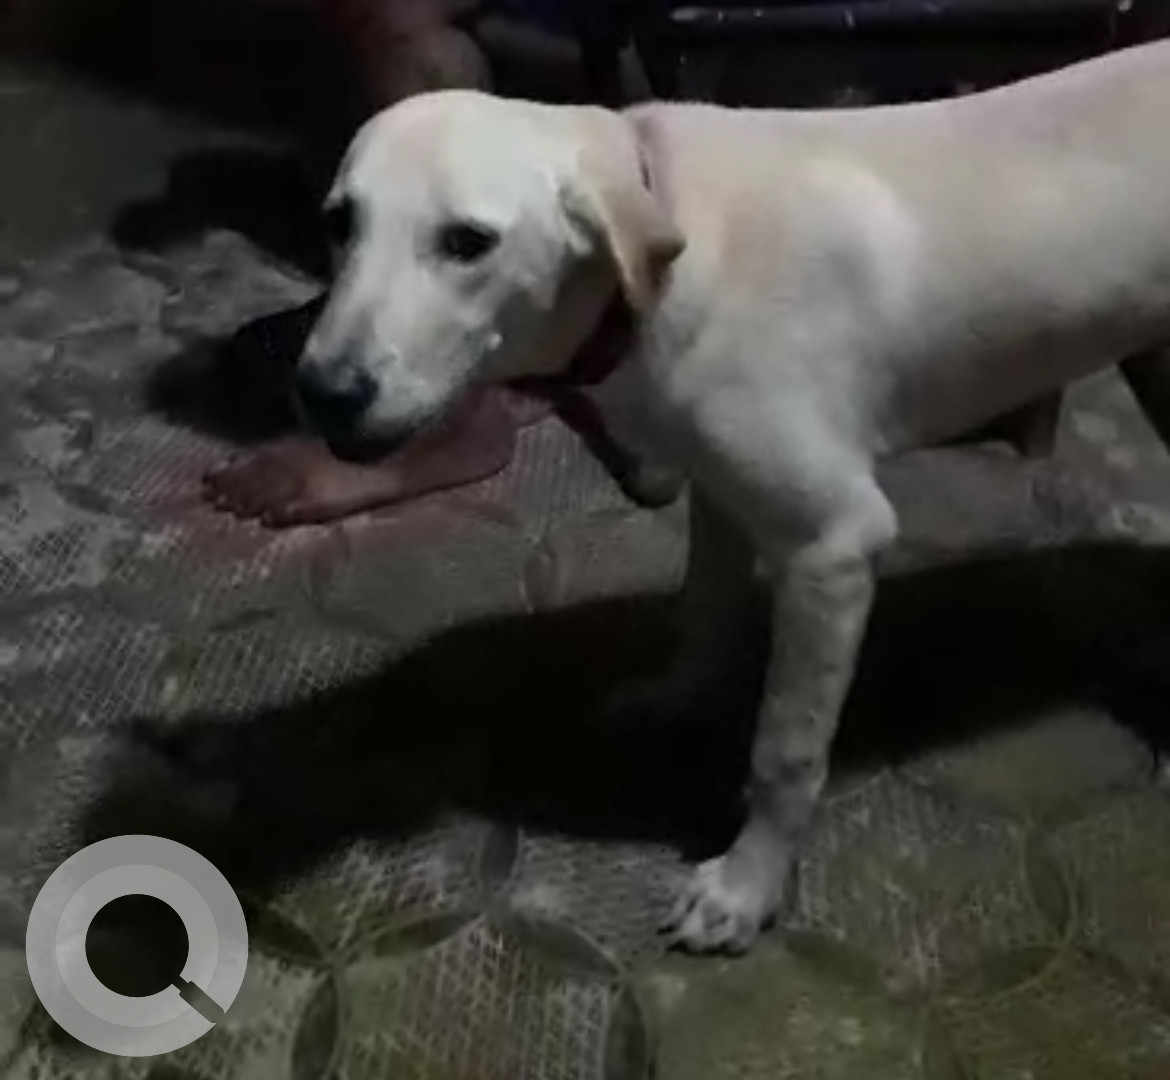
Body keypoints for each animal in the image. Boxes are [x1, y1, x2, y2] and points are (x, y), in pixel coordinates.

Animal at [292, 39, 1170, 953]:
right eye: (339, 221)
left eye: (468, 242)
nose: (322, 394)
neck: (663, 249)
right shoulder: (717, 491)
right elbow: (704, 613)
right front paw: (679, 698)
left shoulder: (833, 546)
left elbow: (783, 751)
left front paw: (747, 889)